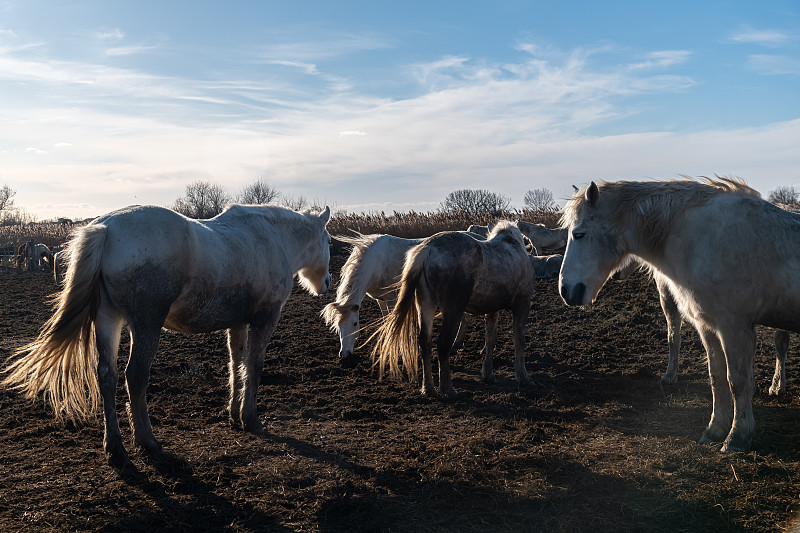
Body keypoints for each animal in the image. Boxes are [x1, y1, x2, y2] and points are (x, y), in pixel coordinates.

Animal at [2, 202, 332, 468]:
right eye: (328, 240)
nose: (327, 281)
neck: (268, 237)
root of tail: (106, 227)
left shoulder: (237, 323)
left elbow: (236, 366)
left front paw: (234, 415)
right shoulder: (265, 318)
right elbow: (254, 366)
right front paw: (251, 419)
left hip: (109, 319)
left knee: (106, 376)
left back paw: (116, 449)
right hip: (146, 325)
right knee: (135, 376)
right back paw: (146, 441)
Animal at [370, 221, 536, 400]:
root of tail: (428, 249)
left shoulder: (492, 309)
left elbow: (490, 340)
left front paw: (488, 374)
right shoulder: (522, 304)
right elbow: (519, 340)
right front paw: (523, 377)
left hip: (425, 305)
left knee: (424, 342)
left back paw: (428, 388)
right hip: (453, 310)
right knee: (443, 345)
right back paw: (447, 389)